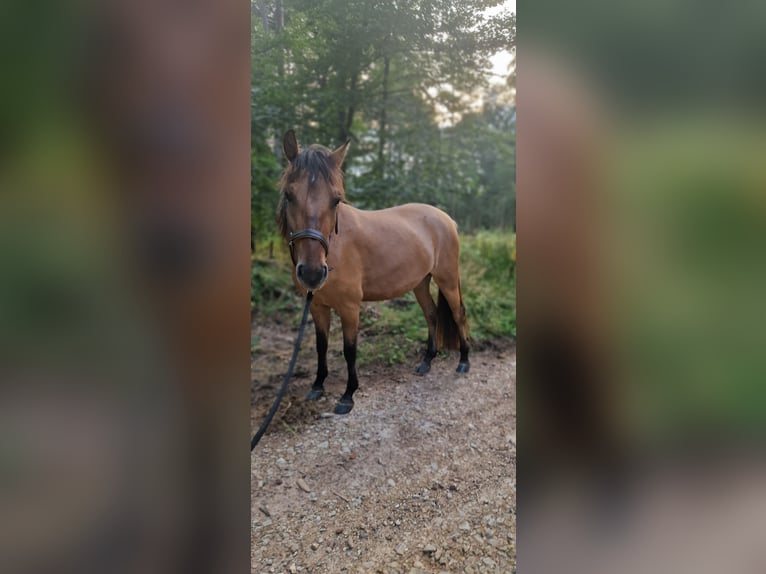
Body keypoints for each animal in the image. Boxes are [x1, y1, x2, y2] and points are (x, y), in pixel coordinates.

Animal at [280, 130, 472, 414]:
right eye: (289, 195)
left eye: (336, 200)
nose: (313, 273)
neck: (334, 246)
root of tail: (446, 219)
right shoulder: (317, 306)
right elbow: (321, 346)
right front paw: (317, 386)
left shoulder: (350, 307)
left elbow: (349, 349)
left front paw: (347, 395)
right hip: (420, 283)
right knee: (431, 314)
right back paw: (426, 363)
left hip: (446, 279)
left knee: (458, 314)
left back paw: (464, 361)